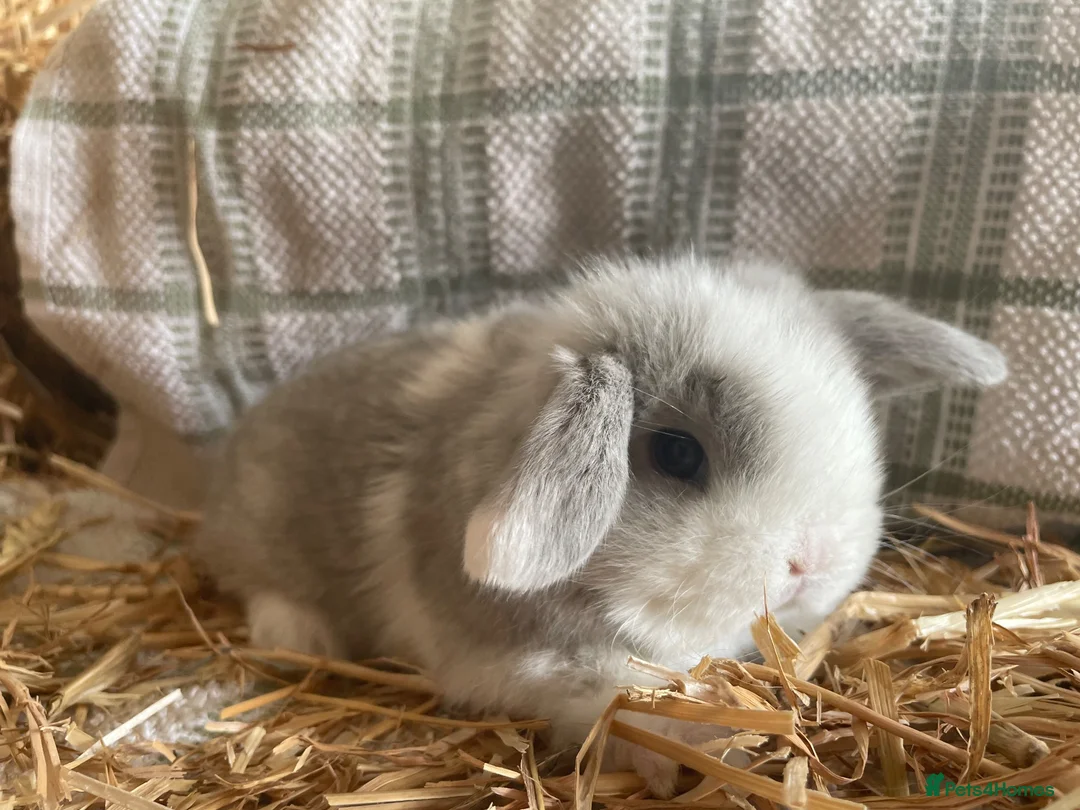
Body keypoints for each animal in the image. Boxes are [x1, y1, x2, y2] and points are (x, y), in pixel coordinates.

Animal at [192, 253, 1008, 796]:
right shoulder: (527, 661)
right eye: (676, 453)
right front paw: (712, 743)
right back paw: (299, 636)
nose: (813, 562)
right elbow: (627, 695)